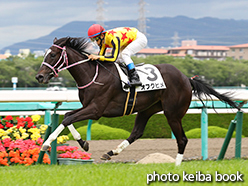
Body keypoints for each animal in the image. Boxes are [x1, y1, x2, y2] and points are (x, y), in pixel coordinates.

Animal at [35, 37, 238, 165]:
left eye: (52, 55)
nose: (39, 77)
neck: (93, 75)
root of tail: (187, 78)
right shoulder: (87, 107)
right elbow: (67, 116)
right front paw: (83, 142)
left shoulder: (96, 109)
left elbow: (68, 118)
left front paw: (46, 144)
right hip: (147, 109)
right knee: (137, 132)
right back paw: (111, 152)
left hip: (173, 113)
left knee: (182, 139)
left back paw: (177, 166)